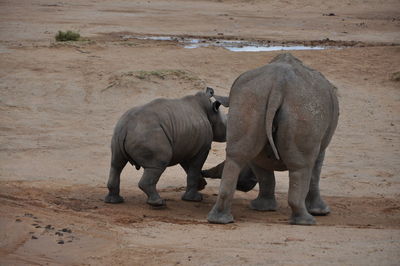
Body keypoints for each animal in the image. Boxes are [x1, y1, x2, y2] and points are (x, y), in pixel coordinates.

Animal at [208, 53, 340, 224]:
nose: (243, 186)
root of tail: (279, 84)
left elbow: (264, 173)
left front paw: (262, 208)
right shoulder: (321, 145)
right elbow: (315, 173)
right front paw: (321, 212)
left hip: (251, 98)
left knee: (237, 156)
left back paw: (219, 220)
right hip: (303, 106)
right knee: (301, 166)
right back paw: (307, 221)